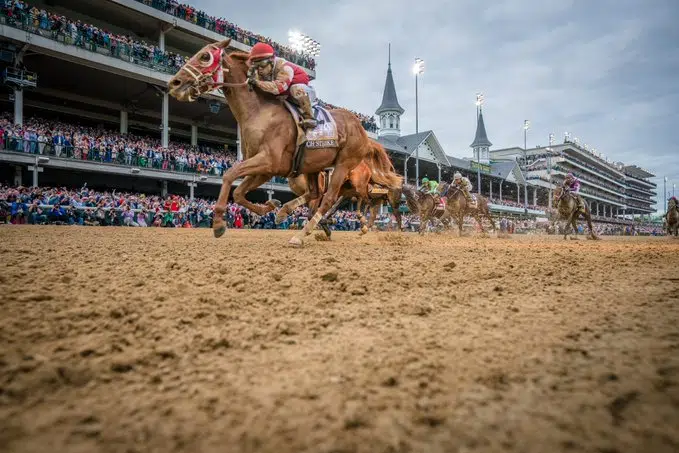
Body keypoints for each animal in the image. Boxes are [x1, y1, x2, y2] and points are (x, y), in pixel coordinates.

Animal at [169, 40, 404, 245]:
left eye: (205, 56)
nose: (174, 83)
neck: (259, 112)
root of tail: (364, 133)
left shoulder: (268, 161)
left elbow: (228, 175)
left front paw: (218, 222)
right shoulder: (265, 168)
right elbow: (238, 192)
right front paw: (270, 207)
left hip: (344, 165)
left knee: (333, 198)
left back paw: (303, 234)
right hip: (314, 166)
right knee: (319, 195)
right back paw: (289, 213)